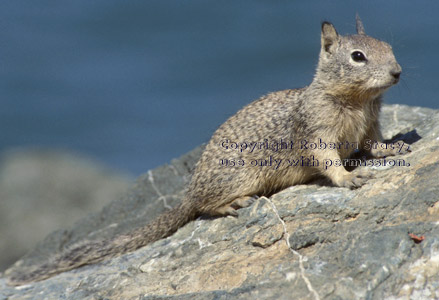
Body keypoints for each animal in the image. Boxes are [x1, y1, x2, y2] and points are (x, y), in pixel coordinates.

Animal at [6, 14, 410, 286]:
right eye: (357, 56)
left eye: (390, 48)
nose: (397, 72)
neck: (357, 101)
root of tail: (188, 191)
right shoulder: (317, 132)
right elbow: (326, 160)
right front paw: (349, 177)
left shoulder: (370, 124)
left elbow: (373, 142)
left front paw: (393, 145)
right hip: (237, 177)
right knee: (204, 206)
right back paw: (232, 204)